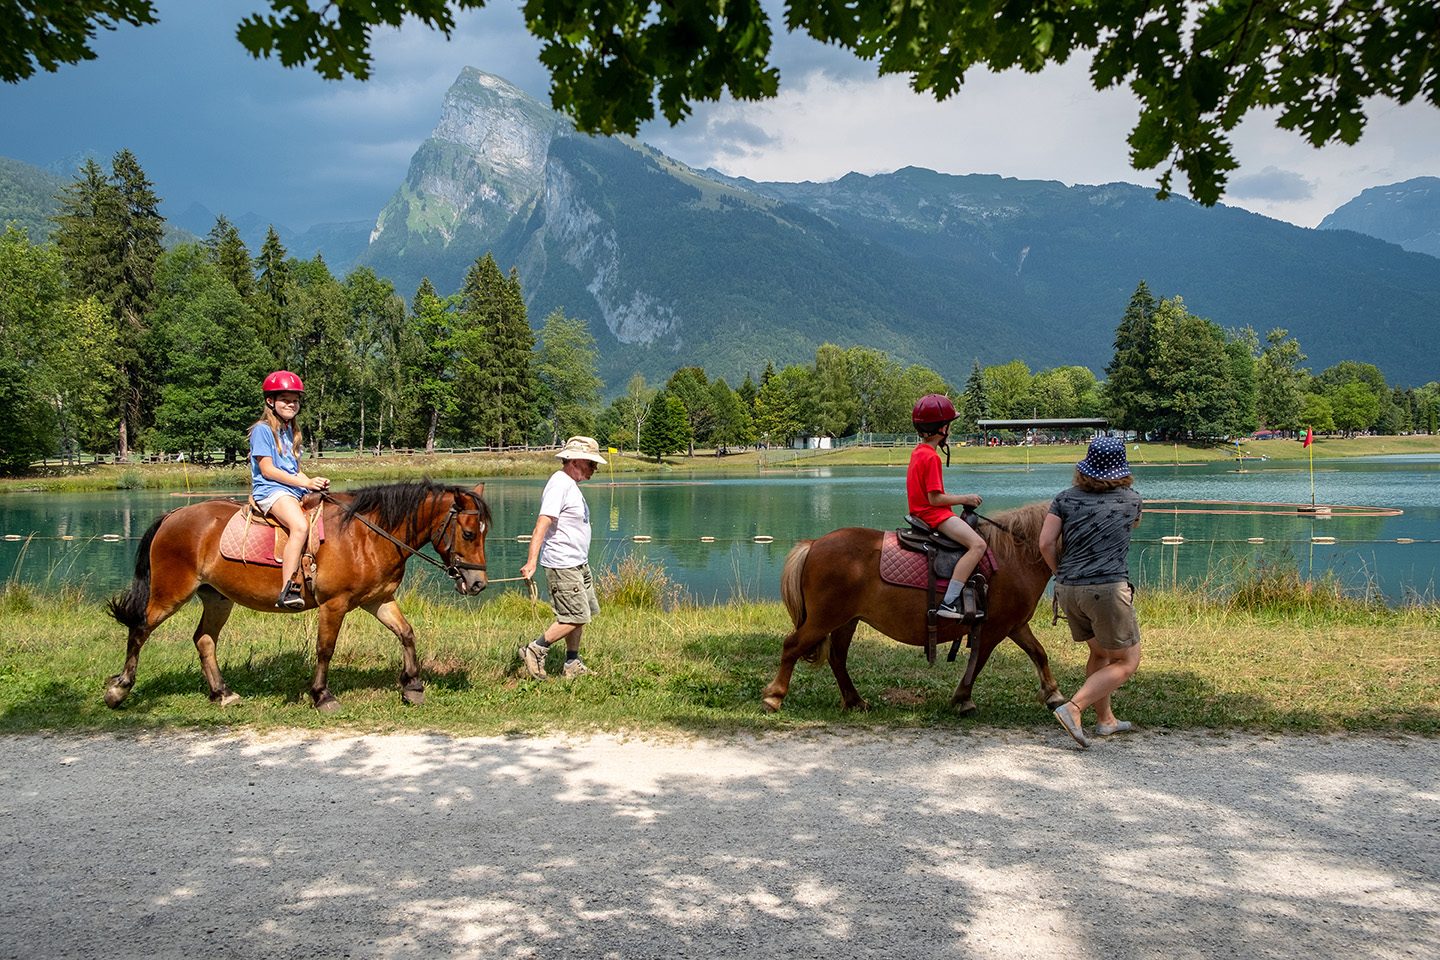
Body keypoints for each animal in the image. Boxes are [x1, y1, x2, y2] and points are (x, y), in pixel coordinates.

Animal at [104, 480, 492, 713]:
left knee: (204, 640)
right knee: (139, 630)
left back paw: (222, 693)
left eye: (484, 533)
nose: (478, 584)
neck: (366, 535)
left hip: (216, 597)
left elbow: (407, 634)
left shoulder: (377, 600)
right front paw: (322, 695)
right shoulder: (335, 605)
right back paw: (119, 690)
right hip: (170, 594)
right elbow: (325, 649)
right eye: (469, 533)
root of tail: (174, 514)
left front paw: (412, 685)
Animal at [760, 503, 1065, 713]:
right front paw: (962, 699)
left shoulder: (1016, 625)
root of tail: (813, 545)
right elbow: (977, 664)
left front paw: (1053, 694)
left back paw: (855, 700)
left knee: (837, 658)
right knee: (792, 646)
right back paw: (774, 697)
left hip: (846, 620)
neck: (1014, 556)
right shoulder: (993, 629)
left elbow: (1039, 653)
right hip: (824, 619)